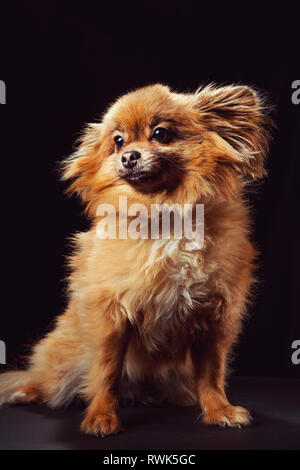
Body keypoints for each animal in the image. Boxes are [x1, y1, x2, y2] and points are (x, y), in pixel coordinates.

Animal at [0, 81, 272, 436]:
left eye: (160, 134)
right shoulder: (111, 316)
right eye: (118, 141)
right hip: (62, 359)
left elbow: (211, 373)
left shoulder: (214, 318)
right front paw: (101, 416)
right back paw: (25, 392)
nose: (129, 156)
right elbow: (107, 370)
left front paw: (218, 410)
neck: (163, 215)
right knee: (45, 378)